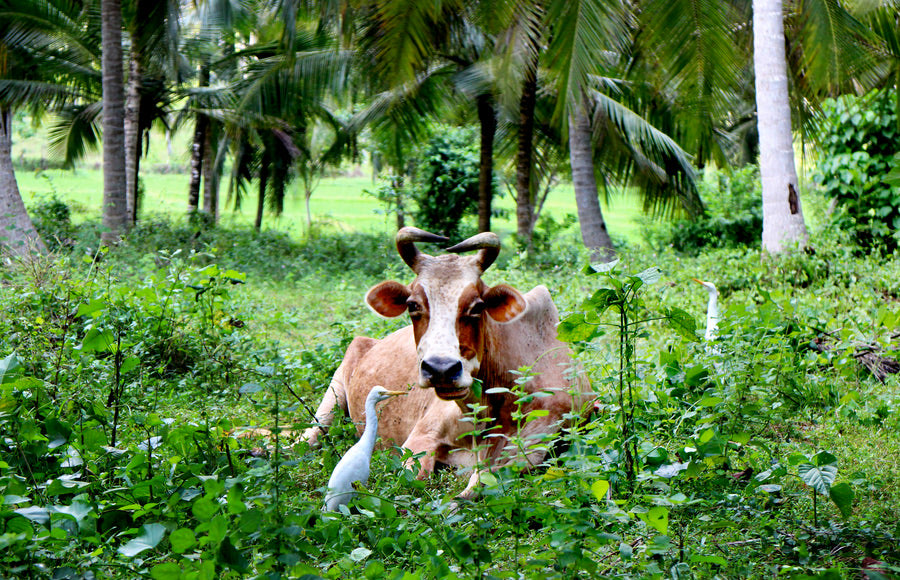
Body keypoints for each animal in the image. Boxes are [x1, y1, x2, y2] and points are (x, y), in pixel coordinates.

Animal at [302, 227, 592, 497]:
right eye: (412, 305)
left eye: (477, 306)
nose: (441, 369)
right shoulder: (420, 438)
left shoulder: (533, 445)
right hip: (331, 398)